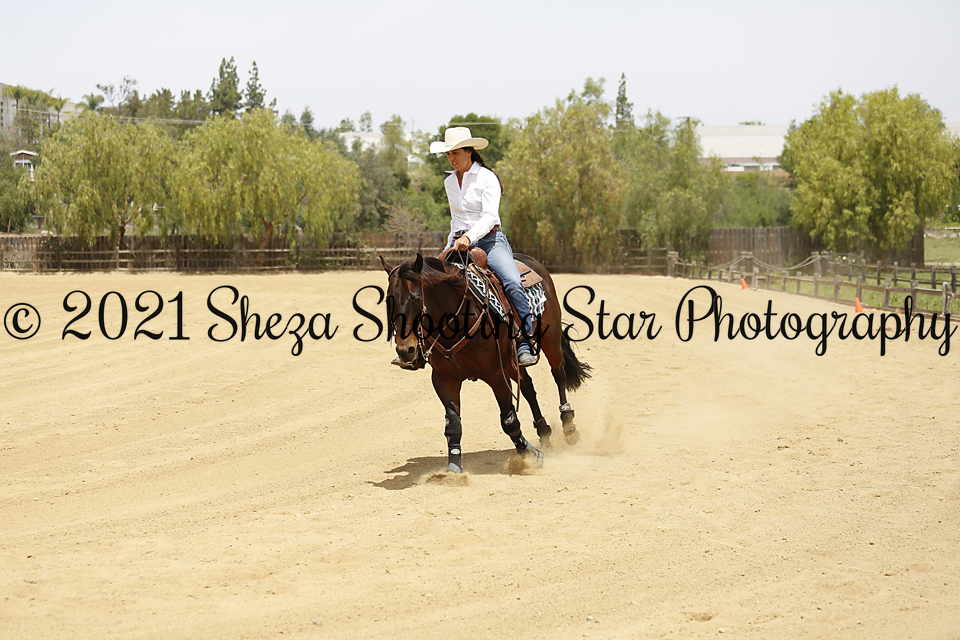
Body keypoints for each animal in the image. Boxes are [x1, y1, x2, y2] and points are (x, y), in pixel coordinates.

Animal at [380, 252, 591, 474]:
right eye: (388, 300)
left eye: (416, 298)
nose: (406, 350)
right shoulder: (444, 378)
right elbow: (452, 425)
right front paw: (453, 469)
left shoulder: (496, 375)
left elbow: (509, 421)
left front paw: (529, 453)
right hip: (512, 362)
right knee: (527, 386)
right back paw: (543, 431)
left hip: (550, 340)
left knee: (558, 375)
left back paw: (568, 426)